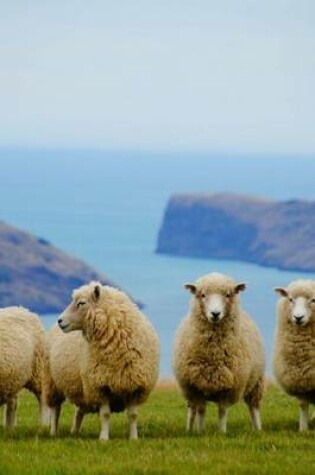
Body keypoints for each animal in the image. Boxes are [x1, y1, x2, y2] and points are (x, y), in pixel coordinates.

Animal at [57, 280, 160, 440]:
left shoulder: (136, 385)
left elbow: (133, 415)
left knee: (79, 410)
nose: (59, 320)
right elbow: (105, 415)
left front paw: (133, 438)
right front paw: (104, 438)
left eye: (81, 303)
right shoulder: (100, 385)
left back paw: (74, 432)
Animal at [174, 272, 266, 436]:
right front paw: (200, 432)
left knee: (253, 407)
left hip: (256, 382)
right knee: (192, 410)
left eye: (228, 295)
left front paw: (222, 432)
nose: (215, 314)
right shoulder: (196, 386)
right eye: (203, 295)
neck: (213, 353)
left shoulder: (228, 386)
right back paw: (189, 429)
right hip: (188, 389)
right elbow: (201, 410)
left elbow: (222, 411)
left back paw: (257, 429)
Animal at [272, 278, 315, 432]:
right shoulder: (300, 379)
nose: (298, 317)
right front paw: (303, 430)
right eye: (290, 299)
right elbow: (303, 404)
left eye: (313, 300)